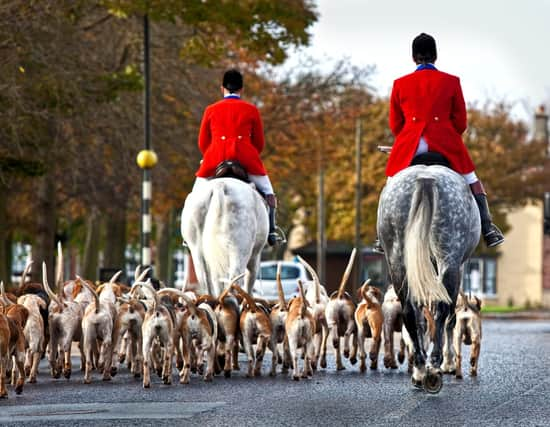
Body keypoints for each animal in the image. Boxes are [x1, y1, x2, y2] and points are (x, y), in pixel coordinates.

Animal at [380, 166, 484, 392]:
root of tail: (426, 177)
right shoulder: (459, 267)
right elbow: (449, 318)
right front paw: (449, 363)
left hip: (398, 259)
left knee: (410, 310)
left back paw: (420, 369)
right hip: (449, 257)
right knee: (444, 310)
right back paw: (435, 365)